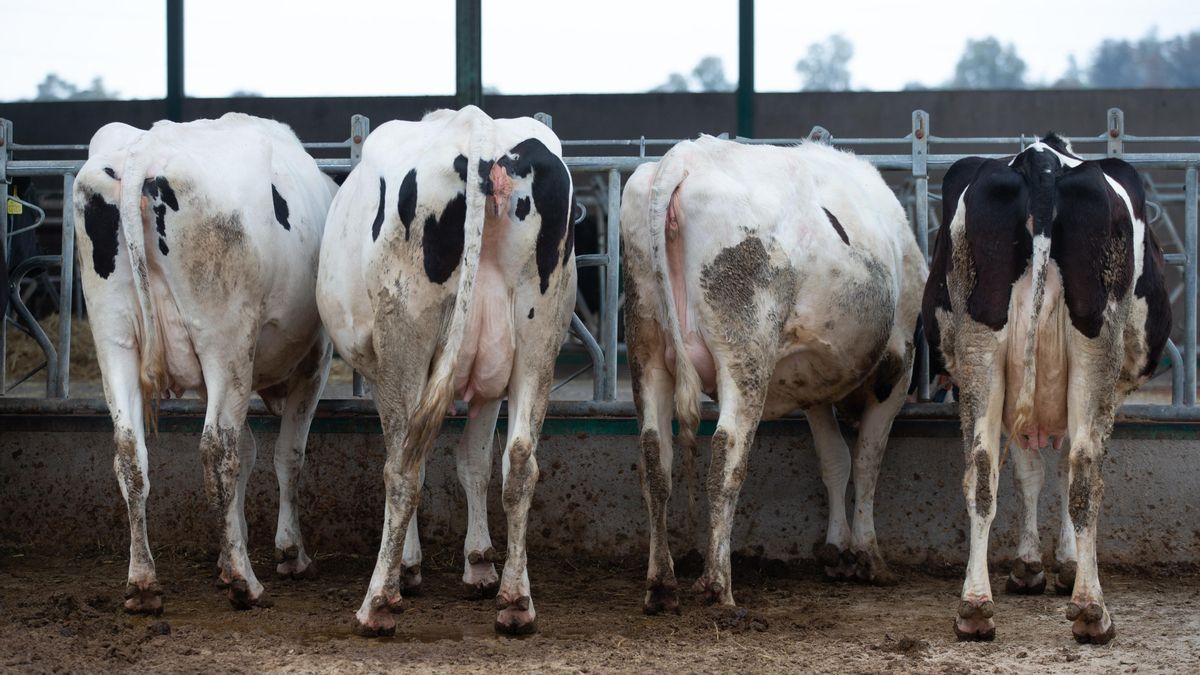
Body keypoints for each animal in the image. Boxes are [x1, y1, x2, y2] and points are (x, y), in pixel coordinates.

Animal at [72, 113, 336, 614]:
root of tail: (148, 148)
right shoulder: (314, 361)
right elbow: (286, 455)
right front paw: (288, 553)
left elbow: (250, 451)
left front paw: (229, 552)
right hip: (224, 343)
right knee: (217, 451)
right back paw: (244, 583)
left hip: (114, 338)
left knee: (130, 453)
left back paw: (143, 582)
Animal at [316, 106, 576, 637]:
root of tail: (479, 131)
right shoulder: (491, 383)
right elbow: (474, 461)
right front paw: (480, 564)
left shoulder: (384, 373)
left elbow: (409, 455)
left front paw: (408, 566)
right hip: (539, 338)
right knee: (521, 462)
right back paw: (516, 601)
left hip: (405, 339)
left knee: (404, 468)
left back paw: (377, 602)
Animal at [621, 136, 927, 613]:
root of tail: (685, 157)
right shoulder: (896, 368)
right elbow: (866, 460)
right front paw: (868, 556)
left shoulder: (813, 384)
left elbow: (834, 459)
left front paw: (837, 552)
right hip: (745, 350)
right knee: (727, 453)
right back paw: (719, 585)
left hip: (646, 347)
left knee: (655, 458)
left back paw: (662, 584)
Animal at [922, 133, 1171, 644]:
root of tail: (1041, 159)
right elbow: (1054, 473)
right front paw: (1059, 564)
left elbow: (1028, 473)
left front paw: (1032, 564)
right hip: (1096, 348)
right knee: (1084, 470)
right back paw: (1091, 609)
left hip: (982, 349)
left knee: (981, 468)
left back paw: (975, 606)